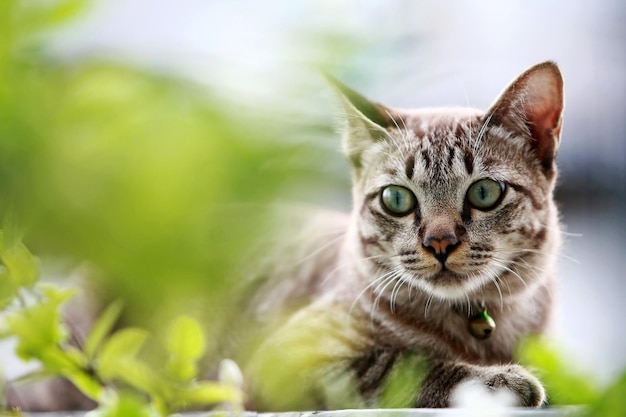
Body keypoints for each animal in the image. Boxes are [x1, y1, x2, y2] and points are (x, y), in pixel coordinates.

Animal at [239, 61, 560, 410]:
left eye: (484, 192)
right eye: (396, 198)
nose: (440, 242)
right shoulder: (283, 360)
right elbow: (403, 366)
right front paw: (499, 381)